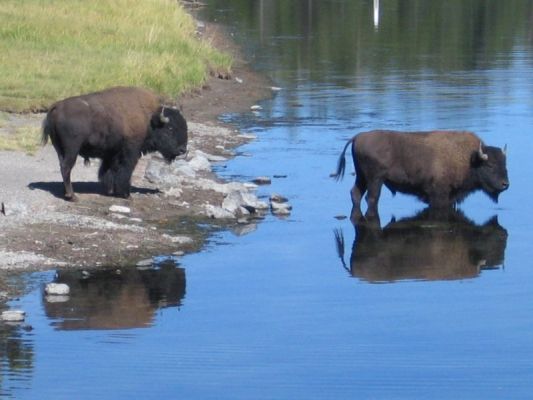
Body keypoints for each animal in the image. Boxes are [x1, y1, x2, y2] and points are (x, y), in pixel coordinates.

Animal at [41, 86, 187, 202]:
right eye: (170, 129)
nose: (183, 150)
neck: (149, 119)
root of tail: (56, 107)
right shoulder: (131, 152)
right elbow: (125, 171)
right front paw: (126, 194)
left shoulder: (111, 154)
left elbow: (108, 170)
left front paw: (110, 191)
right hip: (72, 150)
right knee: (66, 168)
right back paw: (72, 196)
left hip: (59, 149)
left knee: (63, 167)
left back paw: (66, 193)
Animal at [330, 130, 510, 219]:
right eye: (490, 165)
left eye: (505, 164)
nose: (505, 184)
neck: (469, 158)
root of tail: (357, 137)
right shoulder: (439, 195)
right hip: (375, 179)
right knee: (372, 198)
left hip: (361, 177)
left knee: (356, 193)